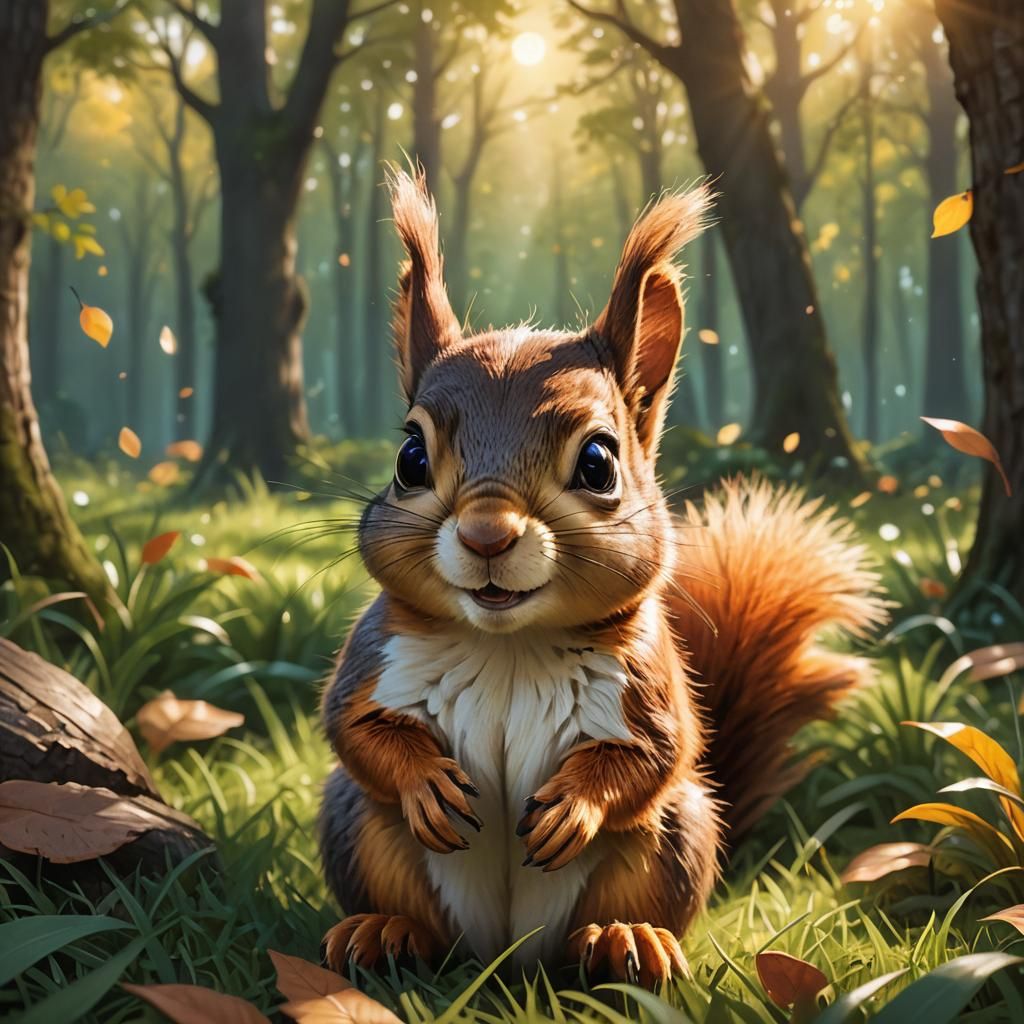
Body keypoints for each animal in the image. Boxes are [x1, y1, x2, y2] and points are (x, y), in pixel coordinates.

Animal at [319, 169, 886, 988]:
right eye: (410, 459)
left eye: (598, 462)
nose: (486, 534)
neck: (507, 644)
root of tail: (505, 957)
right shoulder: (374, 656)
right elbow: (354, 728)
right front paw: (425, 782)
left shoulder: (650, 680)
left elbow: (657, 753)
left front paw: (575, 809)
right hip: (357, 823)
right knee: (410, 903)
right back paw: (384, 930)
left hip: (677, 832)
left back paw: (627, 939)